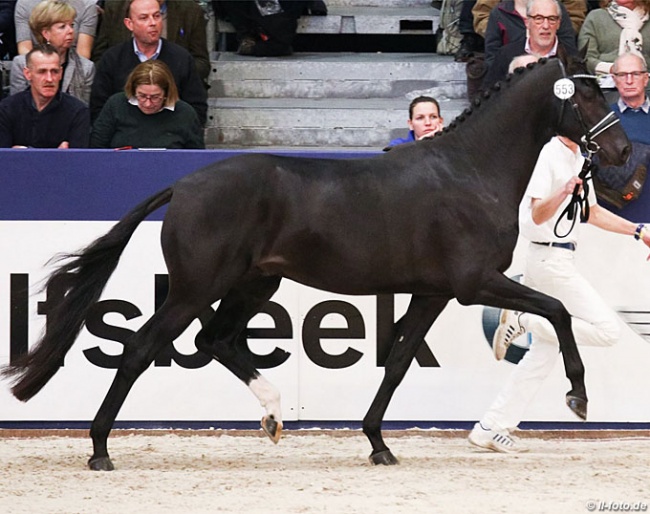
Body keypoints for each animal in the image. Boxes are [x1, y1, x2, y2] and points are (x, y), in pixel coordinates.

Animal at [0, 51, 628, 468]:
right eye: (589, 95)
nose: (623, 151)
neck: (469, 172)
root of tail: (183, 185)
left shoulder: (433, 292)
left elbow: (399, 362)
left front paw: (378, 444)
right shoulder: (474, 283)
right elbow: (557, 311)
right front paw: (577, 396)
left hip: (253, 286)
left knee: (215, 340)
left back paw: (275, 415)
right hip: (195, 289)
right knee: (141, 348)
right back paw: (100, 449)